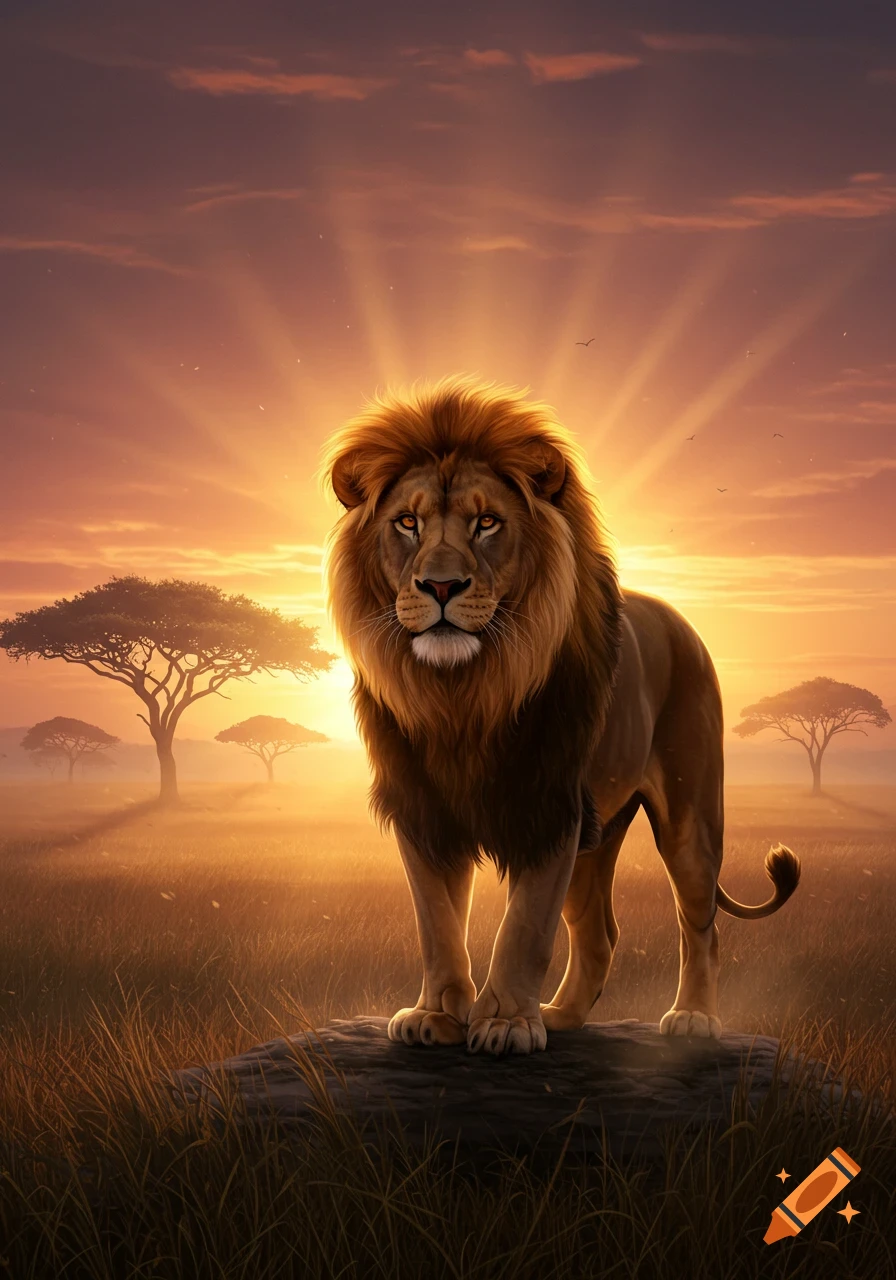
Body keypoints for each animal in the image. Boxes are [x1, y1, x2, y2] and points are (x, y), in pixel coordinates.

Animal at [319, 375, 800, 1056]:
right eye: (407, 523)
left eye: (487, 522)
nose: (441, 587)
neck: (462, 692)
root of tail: (680, 622)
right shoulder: (424, 809)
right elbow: (437, 921)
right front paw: (435, 1016)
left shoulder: (549, 805)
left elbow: (524, 926)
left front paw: (506, 1024)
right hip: (597, 837)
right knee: (601, 932)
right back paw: (565, 1015)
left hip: (688, 815)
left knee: (699, 920)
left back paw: (692, 1019)